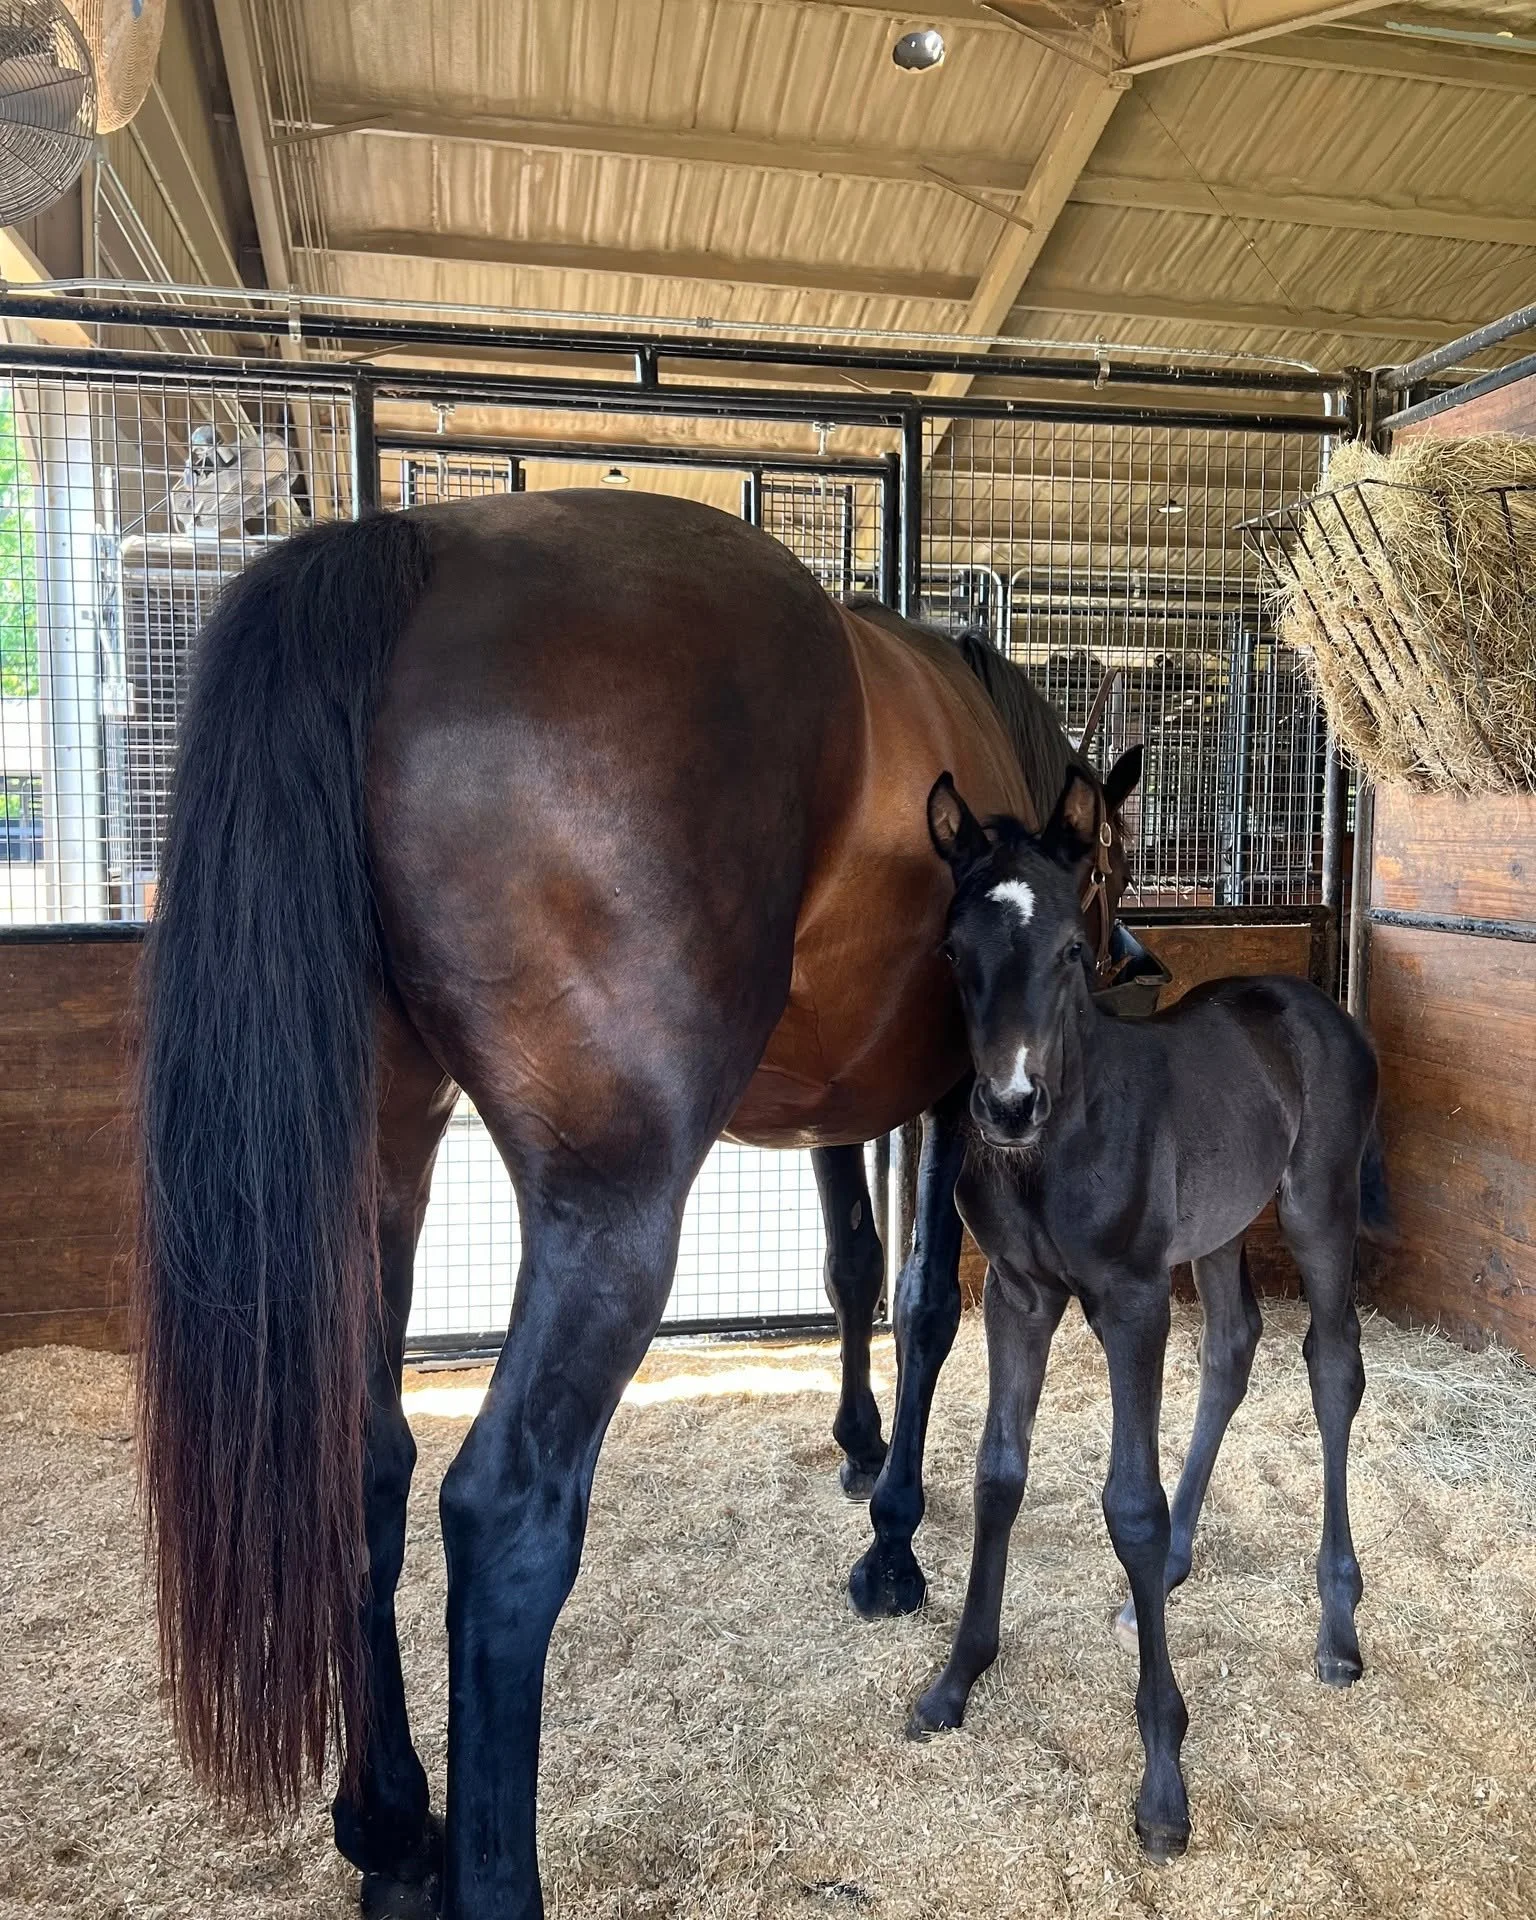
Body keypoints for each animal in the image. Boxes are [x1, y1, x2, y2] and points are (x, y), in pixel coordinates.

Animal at [132, 489, 1139, 1920]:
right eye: (1113, 863)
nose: (1119, 960)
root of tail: (415, 549)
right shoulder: (953, 1098)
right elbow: (924, 1304)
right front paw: (892, 1545)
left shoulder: (838, 1110)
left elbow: (848, 1268)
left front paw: (855, 1447)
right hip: (611, 1216)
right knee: (503, 1512)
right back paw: (487, 1874)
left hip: (384, 1171)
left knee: (368, 1461)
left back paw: (390, 1825)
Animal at [909, 770, 1384, 1861]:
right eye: (953, 951)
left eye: (1067, 951)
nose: (1007, 1106)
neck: (1059, 1141)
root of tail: (1309, 1001)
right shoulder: (1020, 1295)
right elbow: (998, 1474)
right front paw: (956, 1679)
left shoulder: (1129, 1300)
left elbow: (1130, 1502)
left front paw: (1164, 1777)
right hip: (1216, 1232)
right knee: (1233, 1350)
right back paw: (1165, 1577)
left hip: (1317, 1206)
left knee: (1333, 1367)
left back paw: (1337, 1625)